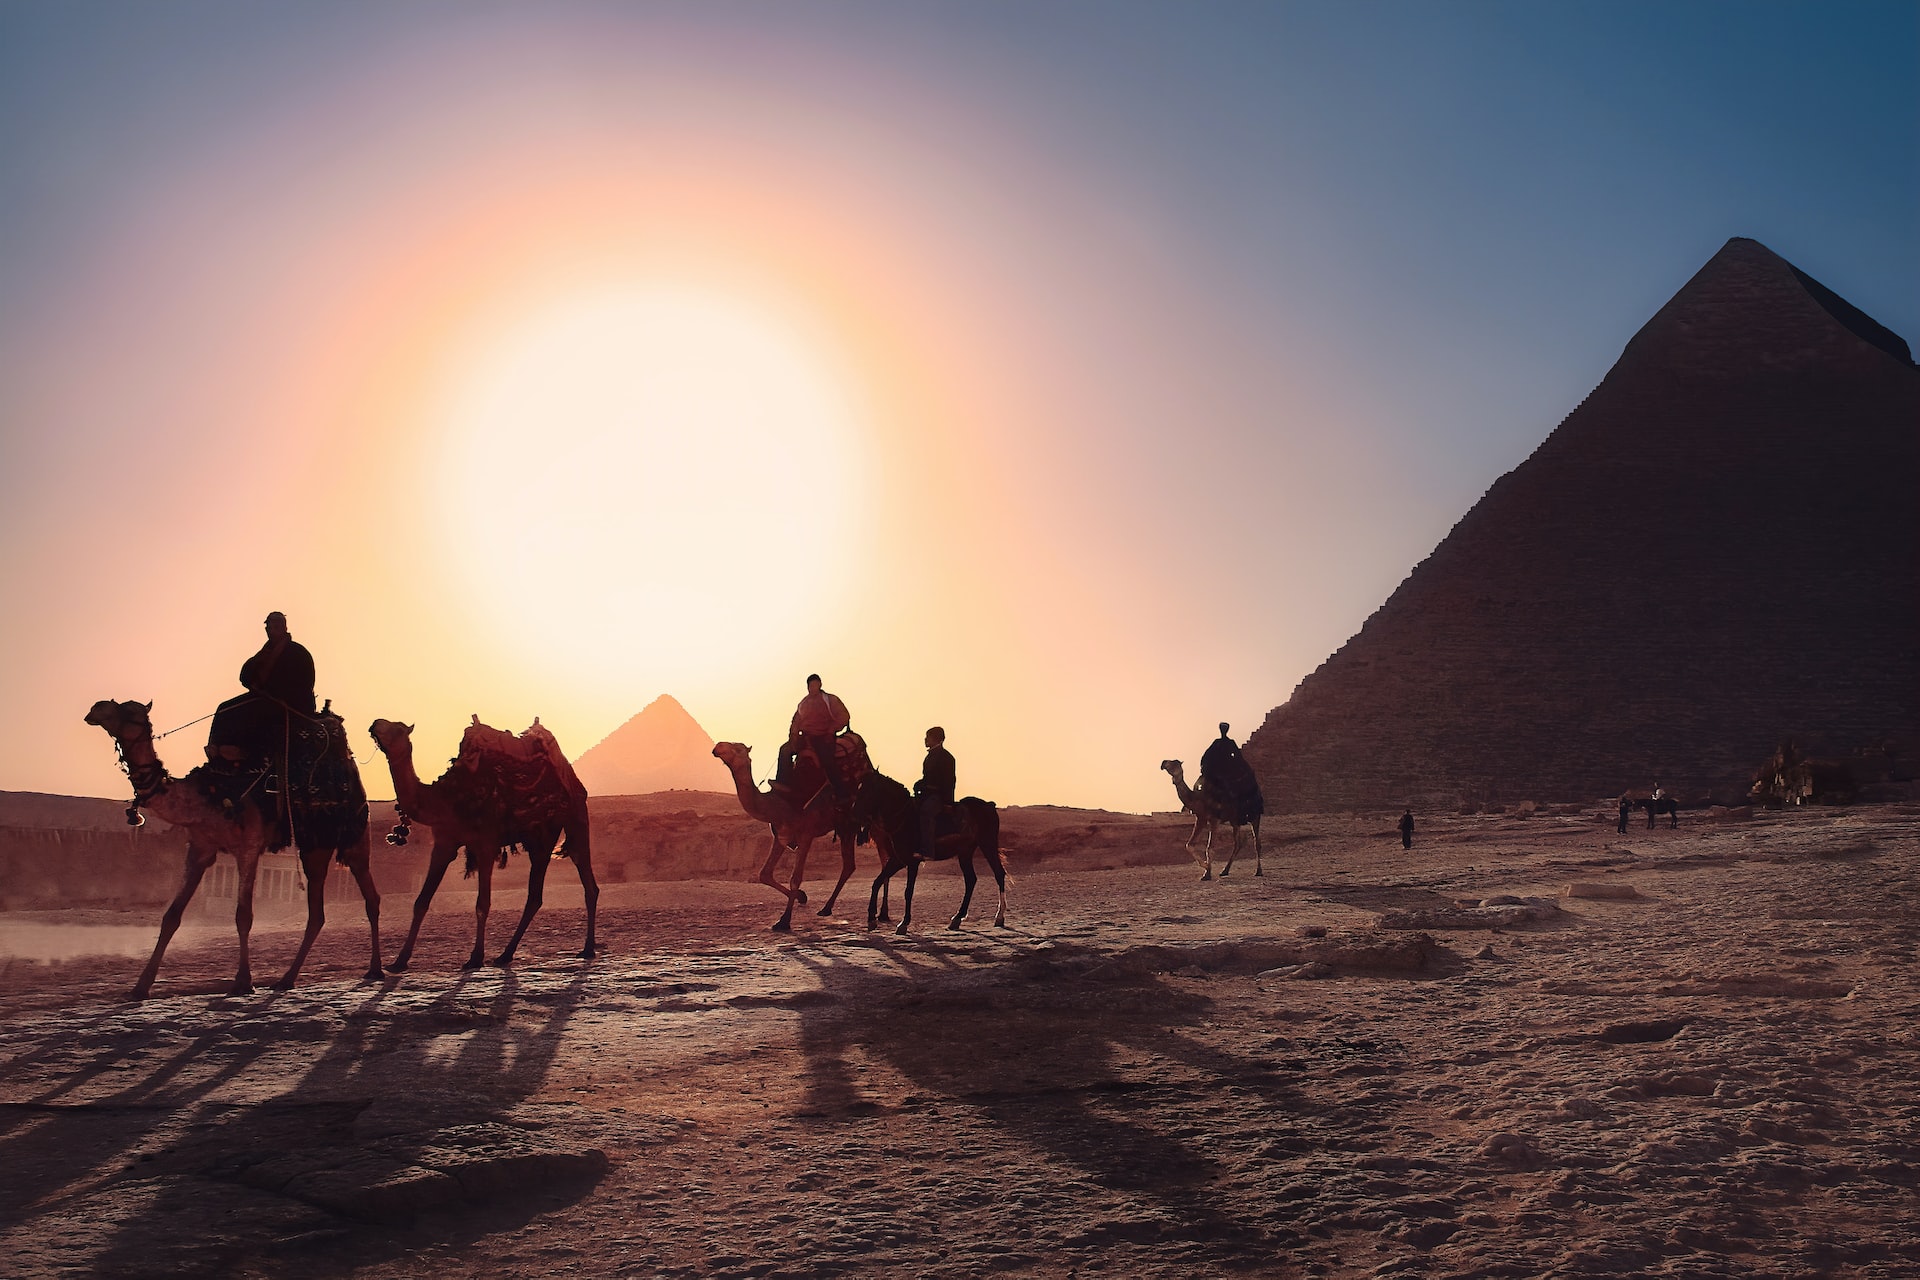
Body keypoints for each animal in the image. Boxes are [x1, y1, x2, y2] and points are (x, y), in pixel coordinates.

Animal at [83, 702, 382, 997]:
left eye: (128, 710)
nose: (95, 709)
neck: (207, 797)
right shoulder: (200, 848)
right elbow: (171, 916)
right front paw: (140, 986)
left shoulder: (248, 846)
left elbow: (243, 916)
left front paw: (243, 982)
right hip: (315, 847)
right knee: (317, 913)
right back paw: (286, 979)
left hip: (354, 836)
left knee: (371, 898)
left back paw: (375, 969)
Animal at [362, 721, 595, 971]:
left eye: (397, 728)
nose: (375, 724)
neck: (445, 798)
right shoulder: (444, 843)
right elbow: (421, 901)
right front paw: (399, 961)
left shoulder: (486, 843)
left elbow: (482, 903)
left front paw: (475, 957)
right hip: (540, 837)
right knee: (537, 897)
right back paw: (505, 955)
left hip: (571, 819)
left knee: (582, 881)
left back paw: (588, 948)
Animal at [714, 740, 871, 932]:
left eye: (738, 749)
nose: (718, 747)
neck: (777, 806)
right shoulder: (781, 837)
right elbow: (764, 874)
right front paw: (801, 897)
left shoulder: (806, 834)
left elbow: (795, 878)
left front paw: (784, 921)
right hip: (846, 827)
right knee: (851, 865)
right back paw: (826, 909)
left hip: (851, 825)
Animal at [852, 767, 1013, 936]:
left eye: (867, 789)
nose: (854, 813)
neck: (904, 817)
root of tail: (989, 805)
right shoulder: (898, 859)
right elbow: (877, 882)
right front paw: (871, 919)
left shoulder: (912, 862)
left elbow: (908, 891)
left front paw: (904, 923)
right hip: (965, 852)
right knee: (971, 880)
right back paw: (957, 918)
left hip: (987, 844)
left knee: (999, 874)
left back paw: (999, 916)